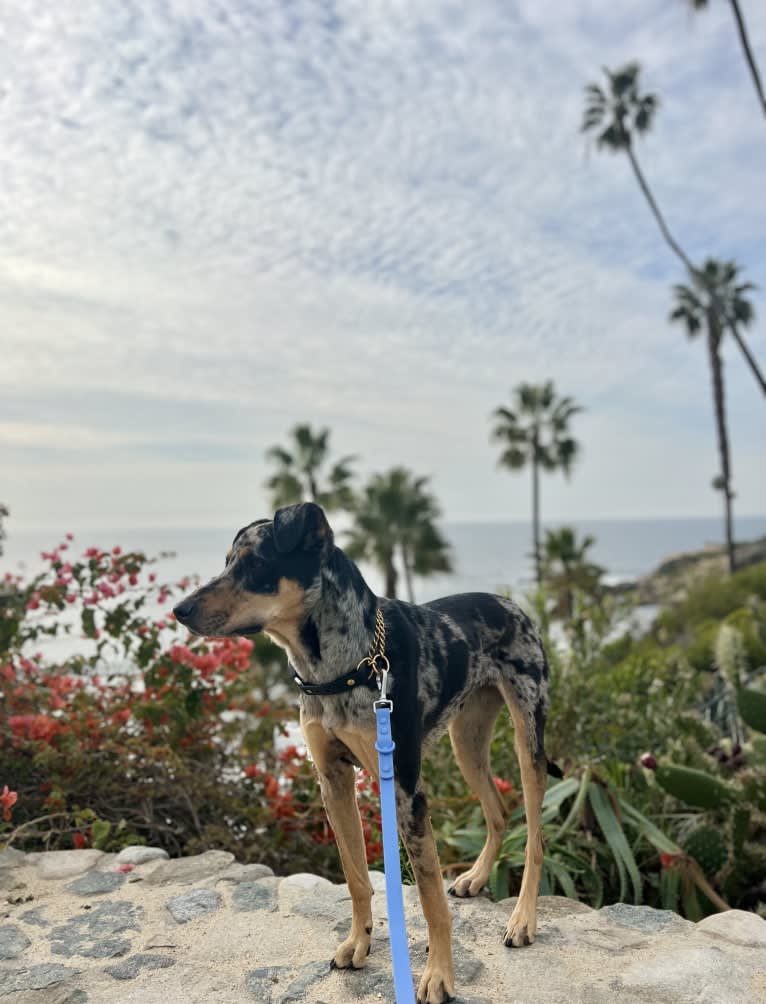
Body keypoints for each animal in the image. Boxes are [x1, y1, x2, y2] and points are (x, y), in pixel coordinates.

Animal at [172, 501, 558, 1003]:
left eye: (255, 565)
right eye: (226, 562)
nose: (180, 610)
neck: (341, 668)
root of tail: (510, 604)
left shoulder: (406, 789)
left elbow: (430, 896)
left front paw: (439, 974)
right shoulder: (332, 778)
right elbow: (355, 876)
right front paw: (359, 944)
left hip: (527, 737)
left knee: (534, 835)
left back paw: (523, 919)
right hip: (466, 741)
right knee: (497, 812)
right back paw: (475, 877)